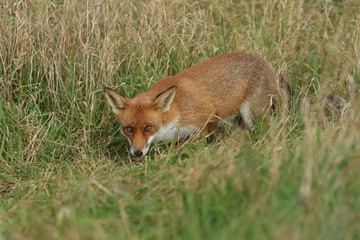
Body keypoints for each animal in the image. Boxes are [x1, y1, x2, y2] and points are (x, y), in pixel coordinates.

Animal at [104, 52, 290, 157]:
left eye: (148, 128)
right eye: (129, 129)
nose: (137, 153)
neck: (177, 111)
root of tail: (267, 63)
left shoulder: (210, 115)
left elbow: (211, 139)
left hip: (251, 113)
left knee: (263, 133)